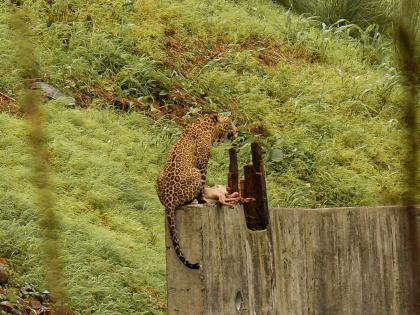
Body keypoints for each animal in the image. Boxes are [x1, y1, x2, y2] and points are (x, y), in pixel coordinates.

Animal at [157, 115, 236, 270]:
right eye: (229, 123)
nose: (236, 130)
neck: (210, 129)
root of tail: (169, 200)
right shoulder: (202, 164)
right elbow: (203, 185)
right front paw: (203, 200)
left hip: (158, 176)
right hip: (195, 173)